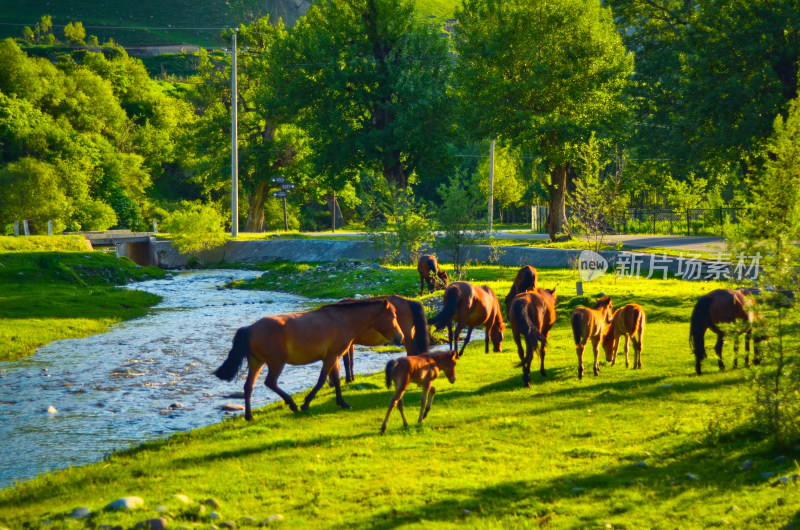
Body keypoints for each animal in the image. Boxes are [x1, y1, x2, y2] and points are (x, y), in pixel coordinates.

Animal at [212, 296, 404, 416]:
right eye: (393, 316)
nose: (400, 337)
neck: (342, 320)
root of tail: (250, 329)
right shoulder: (330, 357)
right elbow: (322, 380)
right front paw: (305, 403)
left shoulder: (334, 357)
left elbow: (336, 380)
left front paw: (342, 402)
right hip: (276, 363)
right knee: (270, 382)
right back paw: (292, 404)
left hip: (256, 362)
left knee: (248, 387)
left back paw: (249, 416)